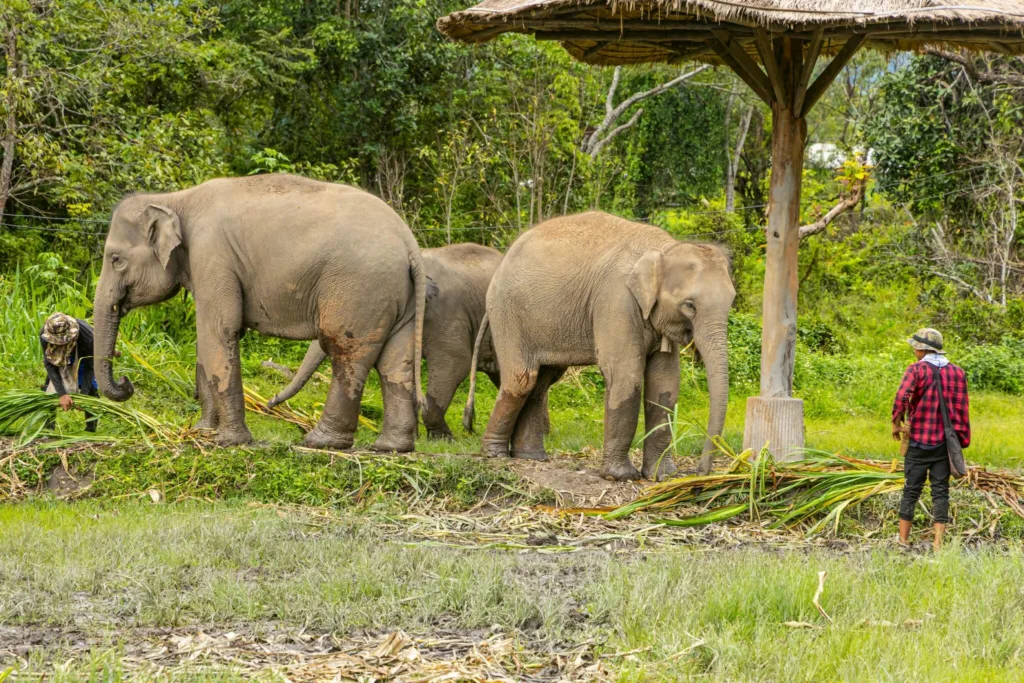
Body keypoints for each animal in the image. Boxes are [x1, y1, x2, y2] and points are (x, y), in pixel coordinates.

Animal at [93, 173, 426, 451]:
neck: (175, 199)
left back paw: (320, 441)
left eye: (116, 259)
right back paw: (391, 448)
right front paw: (203, 431)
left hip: (358, 287)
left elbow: (219, 329)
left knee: (346, 351)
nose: (125, 382)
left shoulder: (212, 254)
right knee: (395, 362)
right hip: (398, 296)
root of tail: (410, 243)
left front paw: (228, 442)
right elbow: (209, 338)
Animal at [465, 211, 735, 481]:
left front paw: (662, 476)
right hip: (509, 314)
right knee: (521, 380)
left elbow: (665, 383)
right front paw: (621, 476)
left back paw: (532, 457)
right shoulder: (615, 300)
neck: (663, 249)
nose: (700, 471)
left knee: (540, 384)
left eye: (732, 301)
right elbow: (626, 375)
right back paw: (495, 454)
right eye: (689, 305)